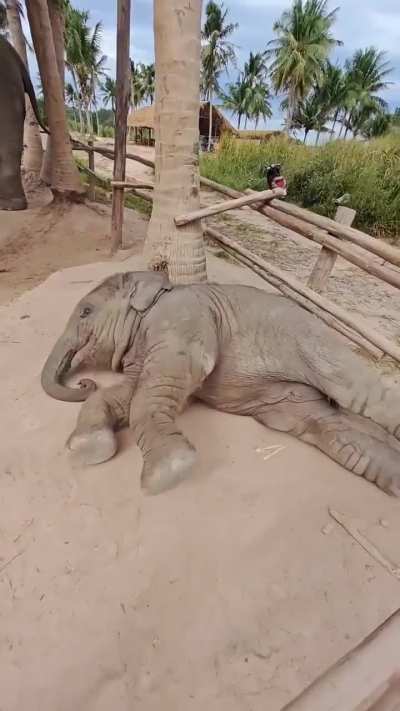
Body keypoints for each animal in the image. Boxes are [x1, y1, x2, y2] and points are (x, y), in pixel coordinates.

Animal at [41, 271, 400, 497]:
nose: (84, 381)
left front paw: (169, 471)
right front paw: (88, 448)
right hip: (290, 404)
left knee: (362, 396)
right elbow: (130, 394)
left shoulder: (183, 319)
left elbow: (151, 391)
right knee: (336, 436)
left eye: (86, 311)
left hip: (319, 348)